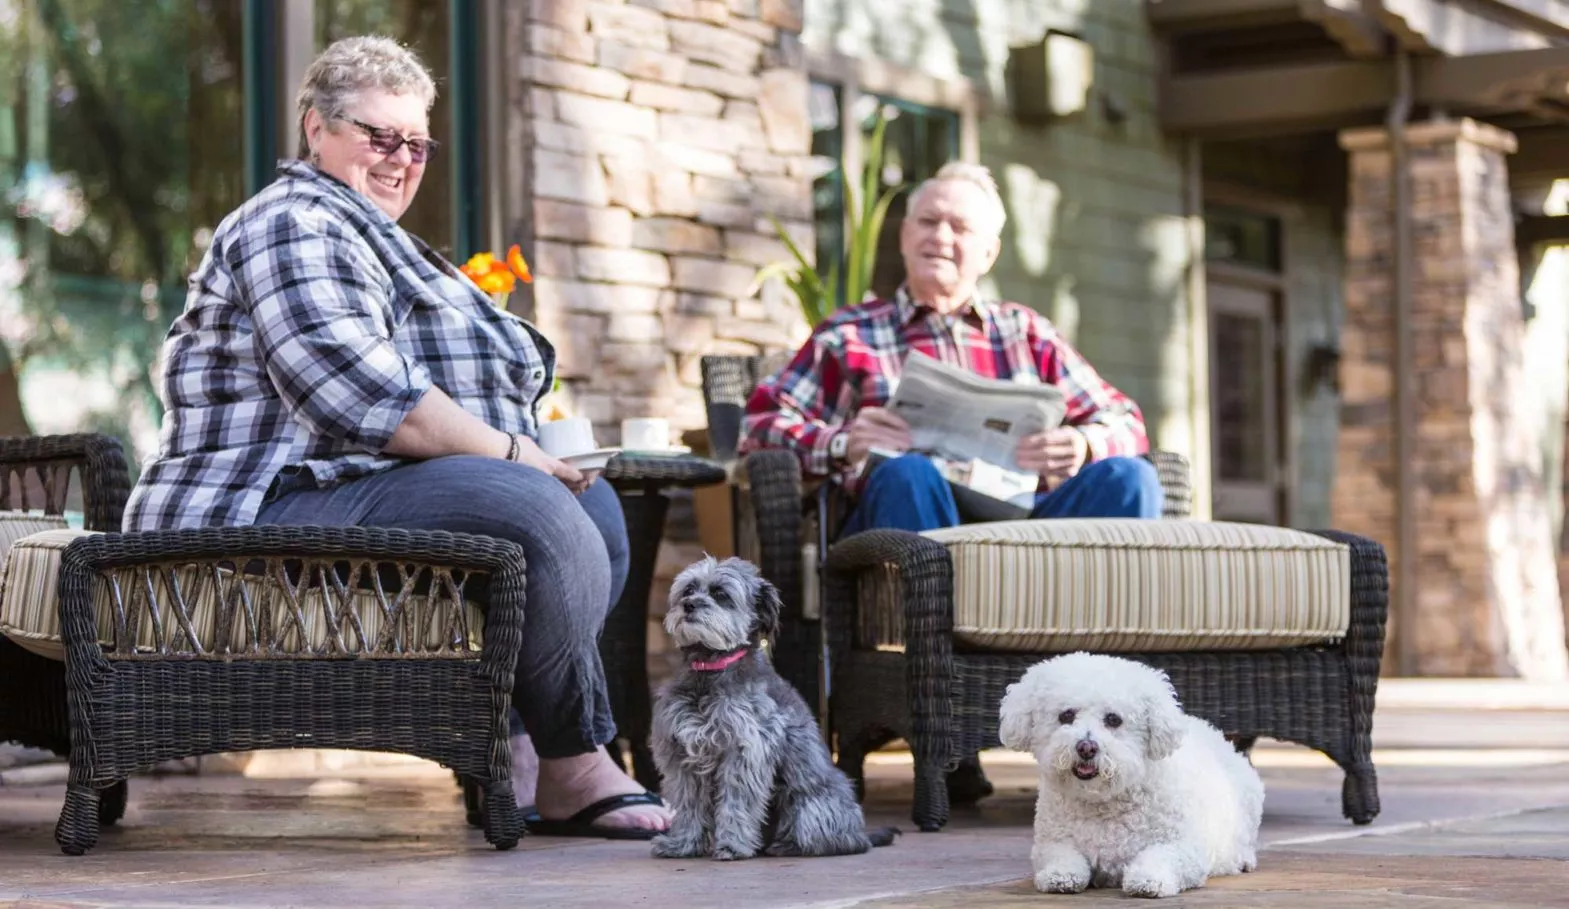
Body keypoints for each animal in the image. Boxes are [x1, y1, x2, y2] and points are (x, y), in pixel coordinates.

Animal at [649, 555, 897, 860]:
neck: (711, 668)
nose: (689, 604)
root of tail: (862, 834)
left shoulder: (745, 752)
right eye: (688, 589)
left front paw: (732, 845)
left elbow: (736, 804)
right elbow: (688, 805)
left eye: (721, 594)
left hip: (810, 808)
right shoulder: (681, 756)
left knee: (834, 841)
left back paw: (788, 845)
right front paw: (683, 844)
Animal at [997, 649, 1267, 898]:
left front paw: (1149, 879)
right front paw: (1061, 875)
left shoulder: (1184, 848)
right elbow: (1062, 856)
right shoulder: (1050, 842)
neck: (1103, 801)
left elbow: (1160, 856)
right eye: (1066, 715)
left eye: (1113, 719)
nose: (1086, 747)